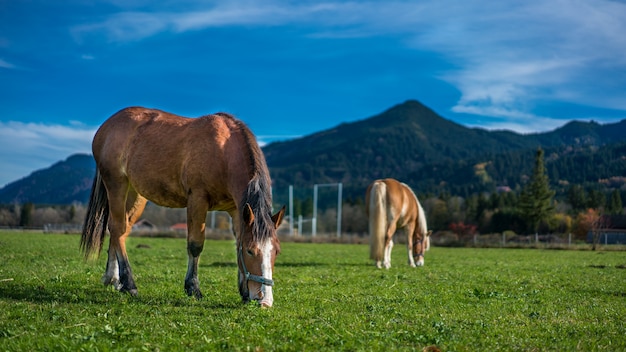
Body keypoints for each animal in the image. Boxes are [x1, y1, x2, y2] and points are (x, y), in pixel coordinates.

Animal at [79, 106, 284, 306]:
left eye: (276, 251)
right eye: (250, 251)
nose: (265, 300)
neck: (223, 152)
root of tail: (106, 126)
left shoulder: (237, 209)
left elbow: (237, 241)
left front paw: (243, 291)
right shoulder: (197, 200)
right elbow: (195, 245)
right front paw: (193, 288)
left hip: (135, 194)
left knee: (120, 229)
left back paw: (113, 278)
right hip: (116, 184)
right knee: (118, 228)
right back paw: (129, 283)